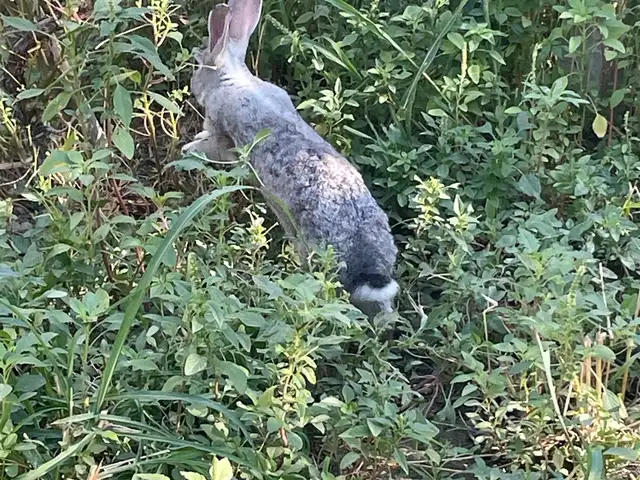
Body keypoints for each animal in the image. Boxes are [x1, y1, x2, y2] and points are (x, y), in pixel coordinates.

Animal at [190, 0, 399, 315]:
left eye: (198, 65)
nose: (193, 84)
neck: (232, 79)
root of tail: (368, 266)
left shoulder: (222, 134)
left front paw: (188, 150)